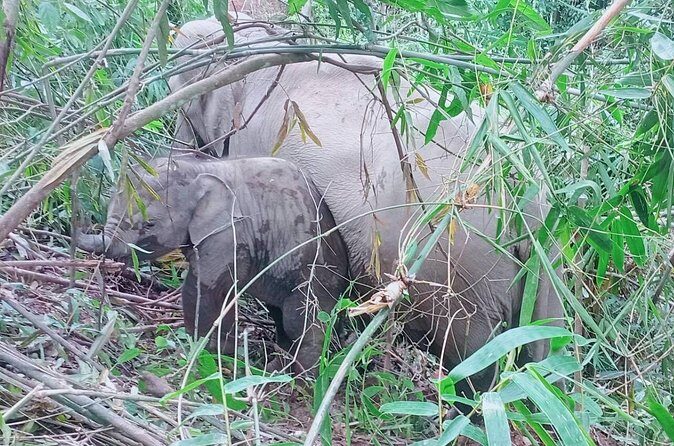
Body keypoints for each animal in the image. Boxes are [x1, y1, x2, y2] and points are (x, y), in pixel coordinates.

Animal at [77, 154, 350, 373]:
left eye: (150, 223)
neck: (199, 169)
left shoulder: (230, 235)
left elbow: (204, 288)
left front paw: (203, 354)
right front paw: (223, 354)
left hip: (316, 275)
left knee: (301, 322)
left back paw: (295, 376)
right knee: (281, 316)